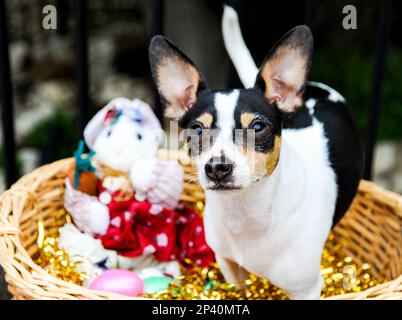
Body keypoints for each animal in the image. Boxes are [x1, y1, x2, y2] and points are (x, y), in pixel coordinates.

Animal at [148, 5, 364, 300]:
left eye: (258, 127)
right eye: (197, 130)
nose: (217, 167)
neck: (246, 214)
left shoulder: (306, 289)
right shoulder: (229, 266)